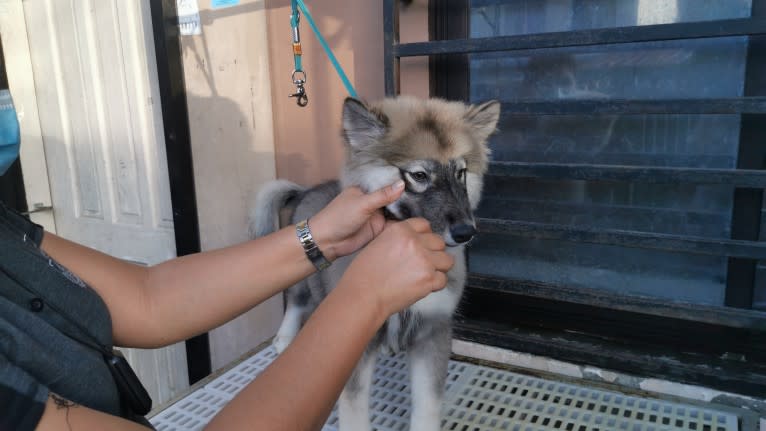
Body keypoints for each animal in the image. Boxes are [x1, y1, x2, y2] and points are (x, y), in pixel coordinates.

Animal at [252, 98, 504, 431]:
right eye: (419, 175)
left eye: (461, 172)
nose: (466, 232)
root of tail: (309, 190)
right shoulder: (353, 341)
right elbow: (354, 408)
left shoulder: (433, 328)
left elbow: (427, 403)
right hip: (307, 275)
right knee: (295, 300)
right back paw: (284, 339)